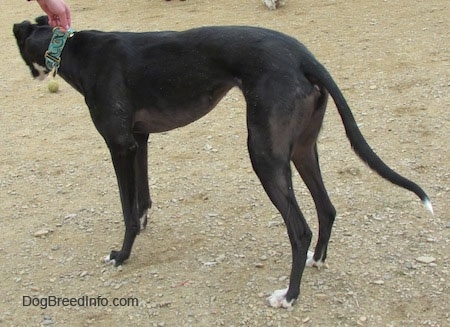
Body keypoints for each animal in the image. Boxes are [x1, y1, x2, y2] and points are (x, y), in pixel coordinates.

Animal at [12, 17, 430, 310]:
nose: (33, 79)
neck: (74, 48)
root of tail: (303, 56)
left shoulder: (119, 145)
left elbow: (127, 210)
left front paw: (122, 254)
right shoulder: (139, 140)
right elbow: (142, 199)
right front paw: (144, 225)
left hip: (264, 154)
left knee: (300, 230)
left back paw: (289, 295)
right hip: (300, 149)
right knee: (326, 208)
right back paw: (317, 261)